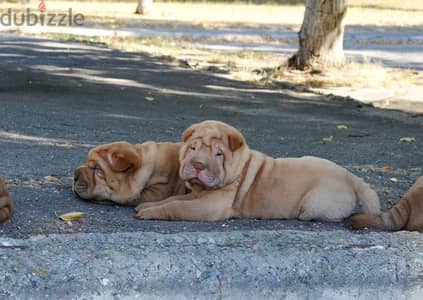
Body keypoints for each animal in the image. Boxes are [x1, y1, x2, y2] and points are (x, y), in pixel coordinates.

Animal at [135, 120, 380, 221]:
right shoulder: (197, 195)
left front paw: (149, 212)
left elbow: (177, 207)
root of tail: (350, 175)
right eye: (192, 148)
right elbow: (173, 199)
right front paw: (147, 206)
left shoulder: (211, 205)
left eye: (218, 154)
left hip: (316, 203)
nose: (197, 165)